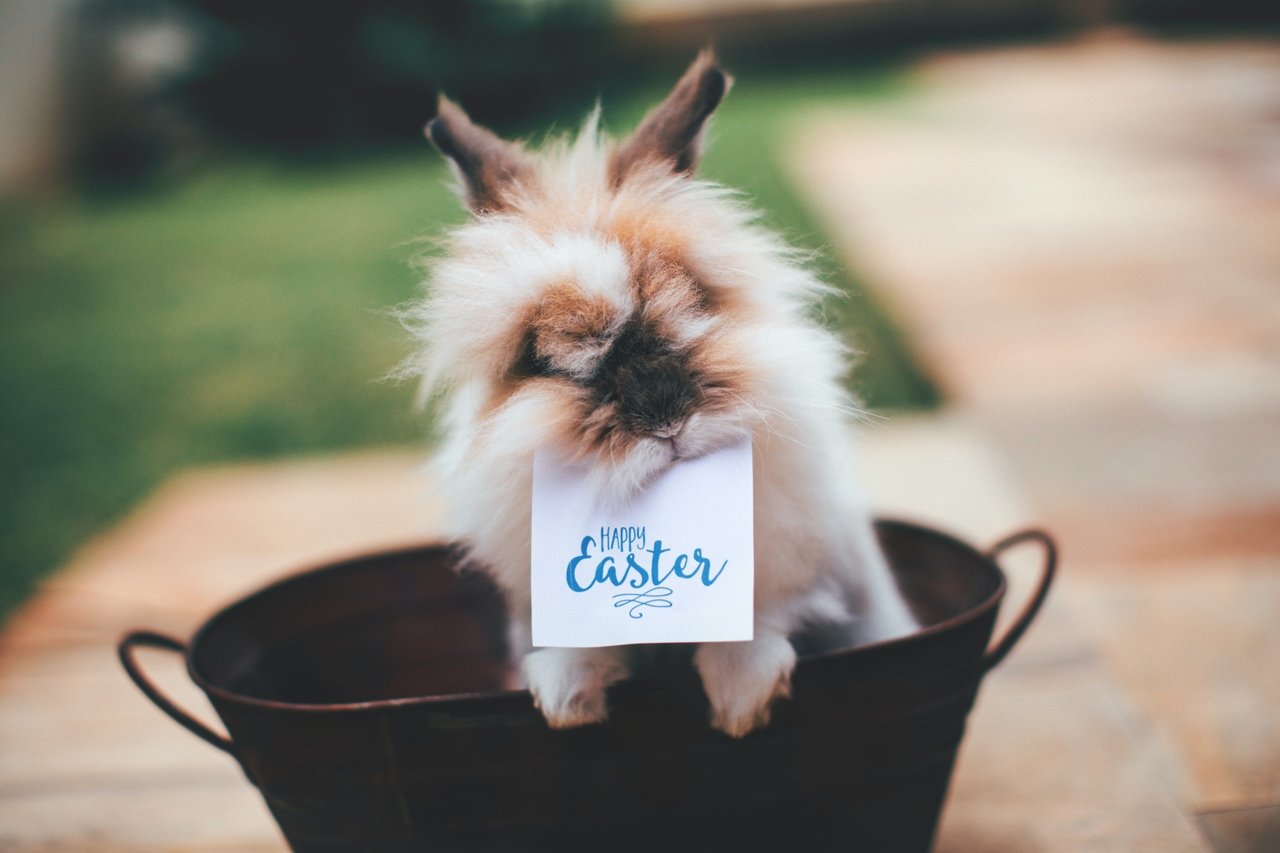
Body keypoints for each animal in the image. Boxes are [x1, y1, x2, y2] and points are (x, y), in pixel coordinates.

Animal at [404, 51, 916, 737]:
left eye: (694, 300)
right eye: (544, 359)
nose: (665, 418)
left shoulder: (804, 558)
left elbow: (765, 613)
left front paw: (742, 702)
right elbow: (578, 642)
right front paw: (564, 701)